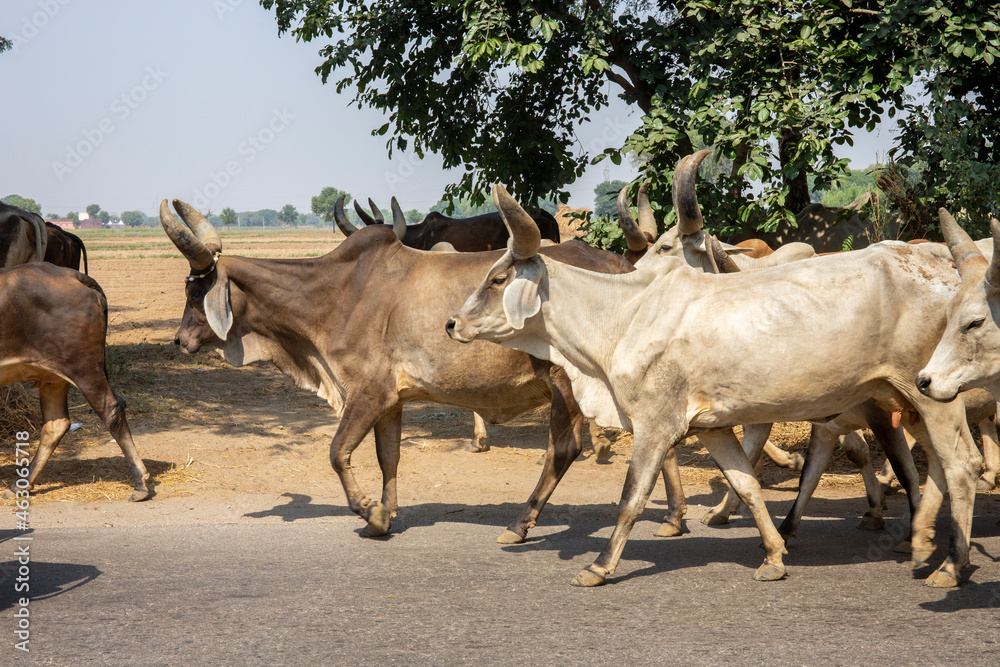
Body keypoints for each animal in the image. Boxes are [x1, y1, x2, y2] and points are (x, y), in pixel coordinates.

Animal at [0, 263, 150, 501]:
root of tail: (72, 274)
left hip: (84, 368)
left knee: (112, 410)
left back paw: (140, 484)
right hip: (53, 376)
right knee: (56, 425)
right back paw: (20, 485)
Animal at [447, 183, 981, 588]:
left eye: (498, 279)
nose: (452, 324)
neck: (624, 317)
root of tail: (946, 270)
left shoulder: (655, 426)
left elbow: (632, 497)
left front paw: (599, 566)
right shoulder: (713, 428)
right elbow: (747, 484)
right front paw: (774, 555)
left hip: (929, 395)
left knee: (961, 467)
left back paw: (950, 565)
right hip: (906, 402)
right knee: (932, 466)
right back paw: (922, 542)